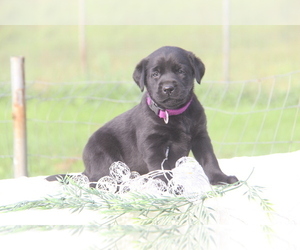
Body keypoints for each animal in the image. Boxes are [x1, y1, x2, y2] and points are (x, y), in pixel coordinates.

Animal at [47, 46, 239, 185]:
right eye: (155, 74)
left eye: (181, 71)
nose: (168, 87)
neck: (174, 113)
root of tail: (87, 169)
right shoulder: (152, 144)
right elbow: (160, 167)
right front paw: (167, 185)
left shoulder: (200, 135)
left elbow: (209, 159)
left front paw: (220, 178)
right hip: (102, 154)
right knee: (97, 180)